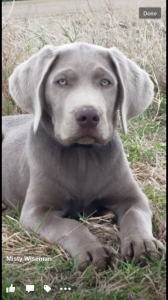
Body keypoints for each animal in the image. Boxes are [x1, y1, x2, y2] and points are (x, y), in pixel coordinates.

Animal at [2, 42, 164, 272]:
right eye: (61, 81)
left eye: (105, 82)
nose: (88, 115)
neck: (82, 155)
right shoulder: (36, 212)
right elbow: (70, 225)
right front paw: (92, 250)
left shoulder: (133, 198)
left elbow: (135, 215)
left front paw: (142, 243)